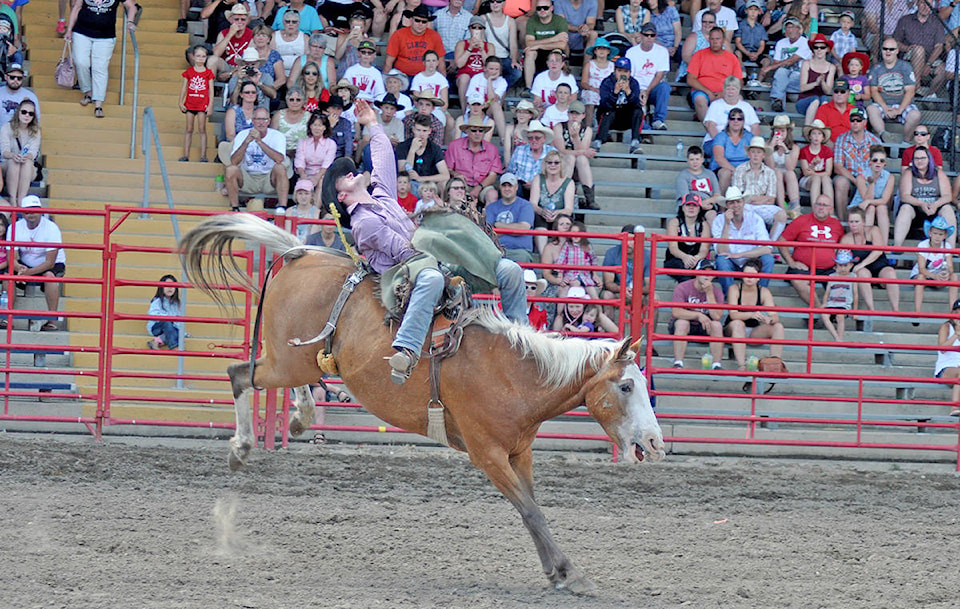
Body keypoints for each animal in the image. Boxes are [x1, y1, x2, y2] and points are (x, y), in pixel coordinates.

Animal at [180, 215, 664, 592]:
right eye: (626, 387)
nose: (656, 442)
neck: (516, 372)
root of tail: (302, 252)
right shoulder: (487, 454)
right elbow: (529, 510)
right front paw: (569, 573)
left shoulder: (519, 453)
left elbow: (534, 509)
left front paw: (556, 571)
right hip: (283, 361)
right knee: (240, 375)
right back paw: (242, 447)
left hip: (296, 358)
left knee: (289, 376)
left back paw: (301, 417)